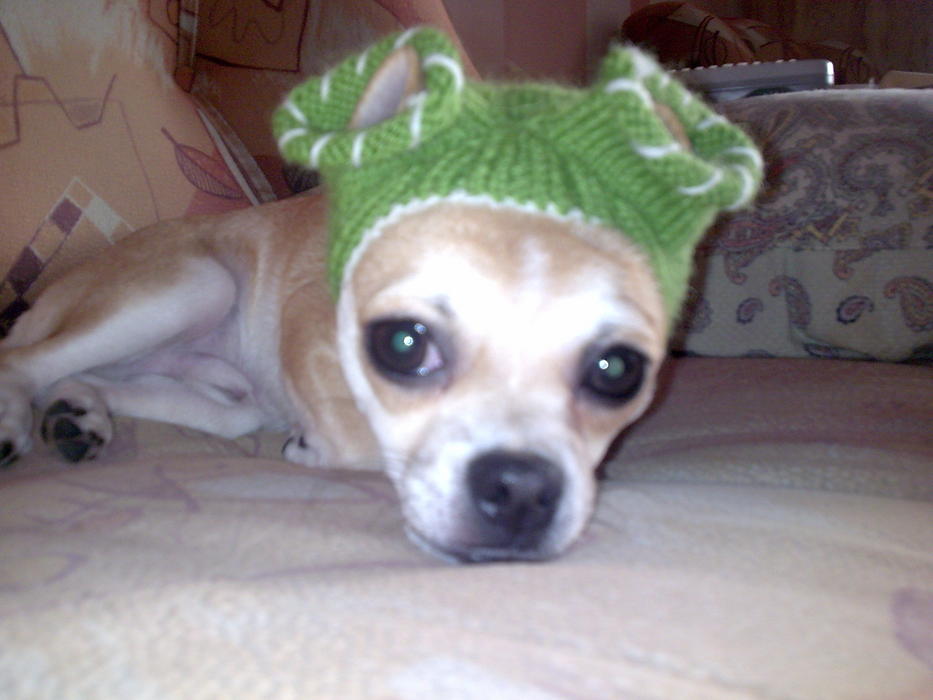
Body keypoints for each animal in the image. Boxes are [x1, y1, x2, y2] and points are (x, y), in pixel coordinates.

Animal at [0, 29, 761, 562]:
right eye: (402, 345)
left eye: (617, 370)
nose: (519, 488)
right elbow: (357, 443)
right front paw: (314, 446)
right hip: (197, 285)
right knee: (23, 362)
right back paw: (18, 422)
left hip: (221, 395)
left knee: (92, 379)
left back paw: (79, 415)